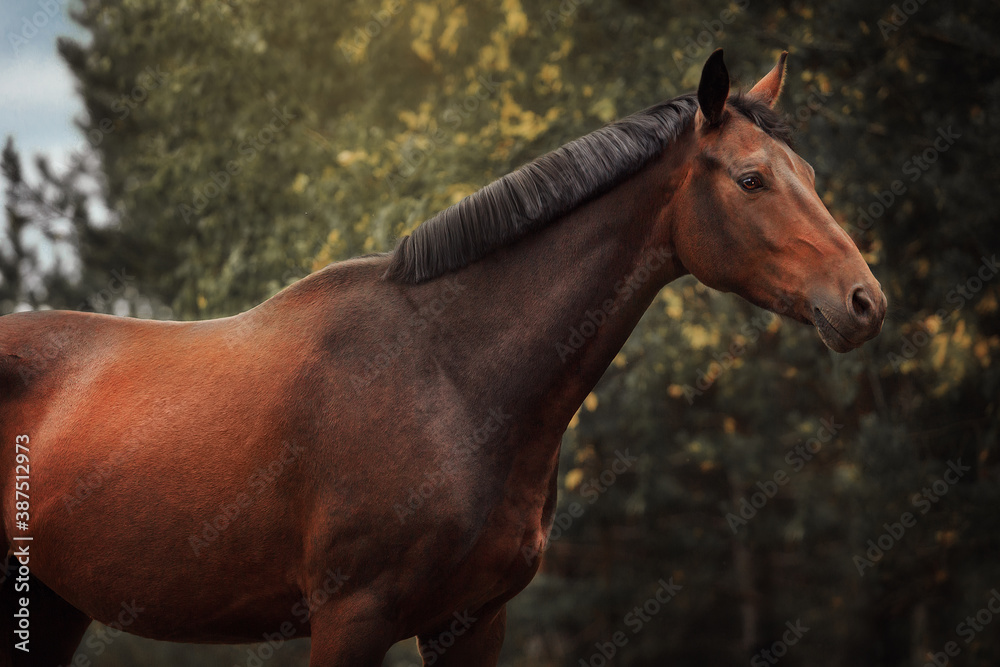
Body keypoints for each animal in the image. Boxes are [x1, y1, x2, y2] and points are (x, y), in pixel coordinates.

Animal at [0, 49, 885, 666]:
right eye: (751, 179)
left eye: (807, 172)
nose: (863, 302)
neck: (451, 377)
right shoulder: (351, 617)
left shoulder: (474, 621)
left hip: (50, 605)